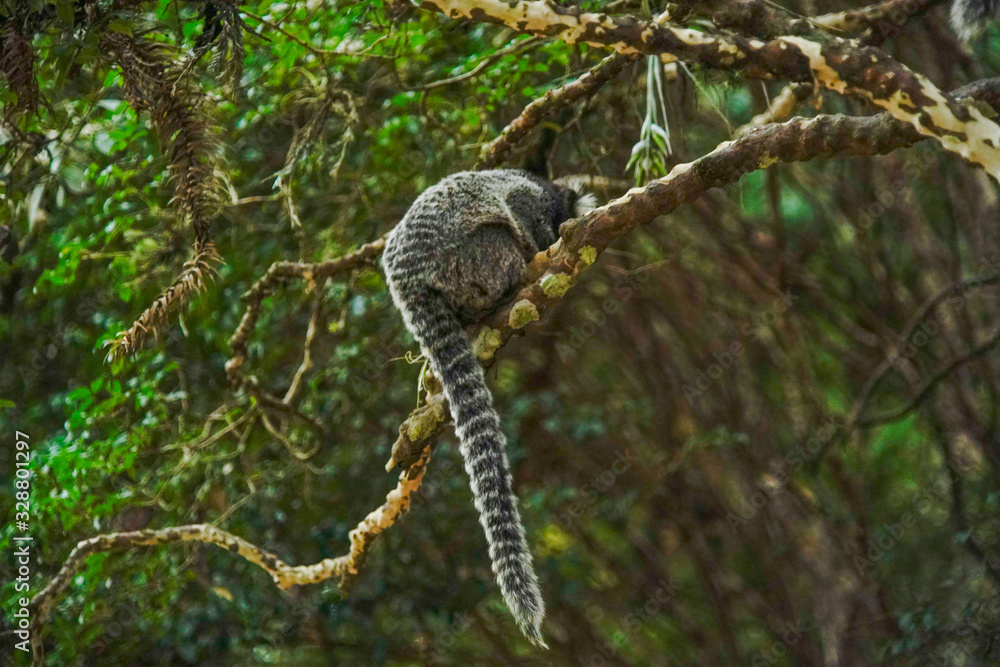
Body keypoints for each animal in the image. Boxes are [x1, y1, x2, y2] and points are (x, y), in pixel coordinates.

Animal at [378, 159, 588, 644]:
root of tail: (408, 284)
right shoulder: (529, 200)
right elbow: (518, 210)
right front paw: (544, 244)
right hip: (472, 261)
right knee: (499, 240)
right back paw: (508, 286)